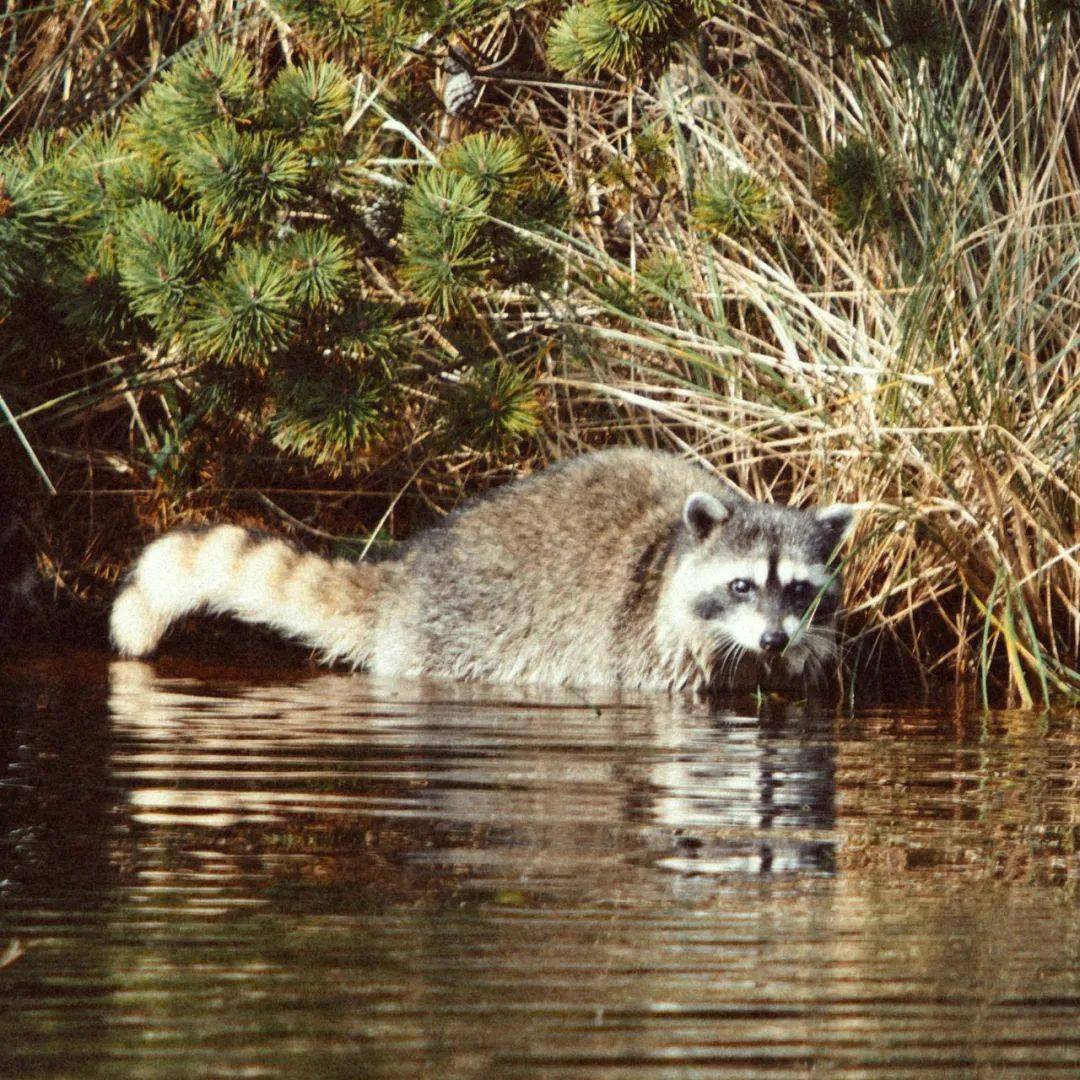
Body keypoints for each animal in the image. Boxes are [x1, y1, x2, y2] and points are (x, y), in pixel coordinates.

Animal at [109, 449, 851, 691]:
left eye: (799, 591)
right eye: (740, 585)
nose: (774, 640)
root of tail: (412, 570)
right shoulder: (637, 645)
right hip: (456, 638)